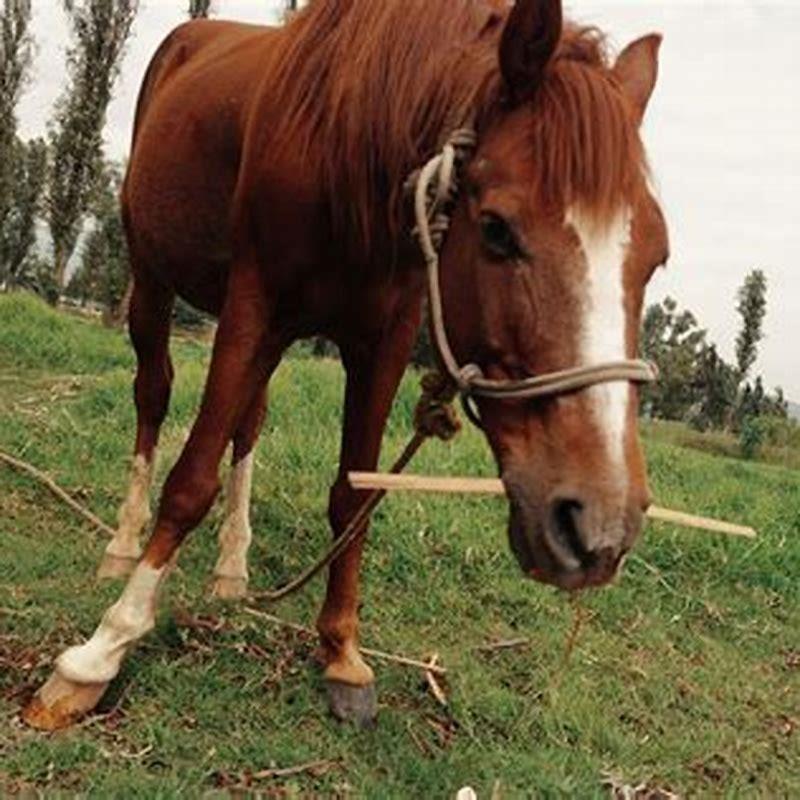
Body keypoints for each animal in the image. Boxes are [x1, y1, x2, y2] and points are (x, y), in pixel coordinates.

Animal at [24, 0, 668, 730]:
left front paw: (341, 649)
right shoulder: (254, 307)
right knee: (154, 395)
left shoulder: (382, 339)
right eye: (498, 229)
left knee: (249, 422)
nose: (598, 529)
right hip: (152, 278)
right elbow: (189, 481)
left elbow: (353, 496)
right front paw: (102, 650)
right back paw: (123, 545)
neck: (350, 152)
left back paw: (233, 564)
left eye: (656, 255)